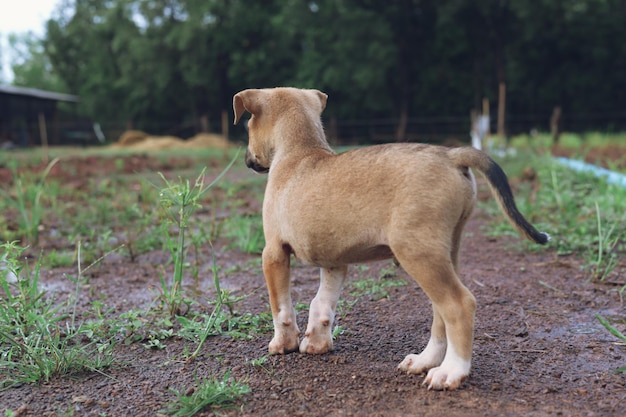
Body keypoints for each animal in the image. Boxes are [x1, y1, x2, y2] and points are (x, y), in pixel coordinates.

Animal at [230, 86, 544, 388]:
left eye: (247, 126)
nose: (247, 161)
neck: (300, 151)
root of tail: (452, 155)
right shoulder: (334, 262)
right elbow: (322, 303)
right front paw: (317, 343)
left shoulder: (273, 253)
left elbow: (281, 308)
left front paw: (283, 344)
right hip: (445, 252)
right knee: (440, 312)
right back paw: (425, 361)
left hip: (417, 253)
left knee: (459, 304)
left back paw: (452, 371)